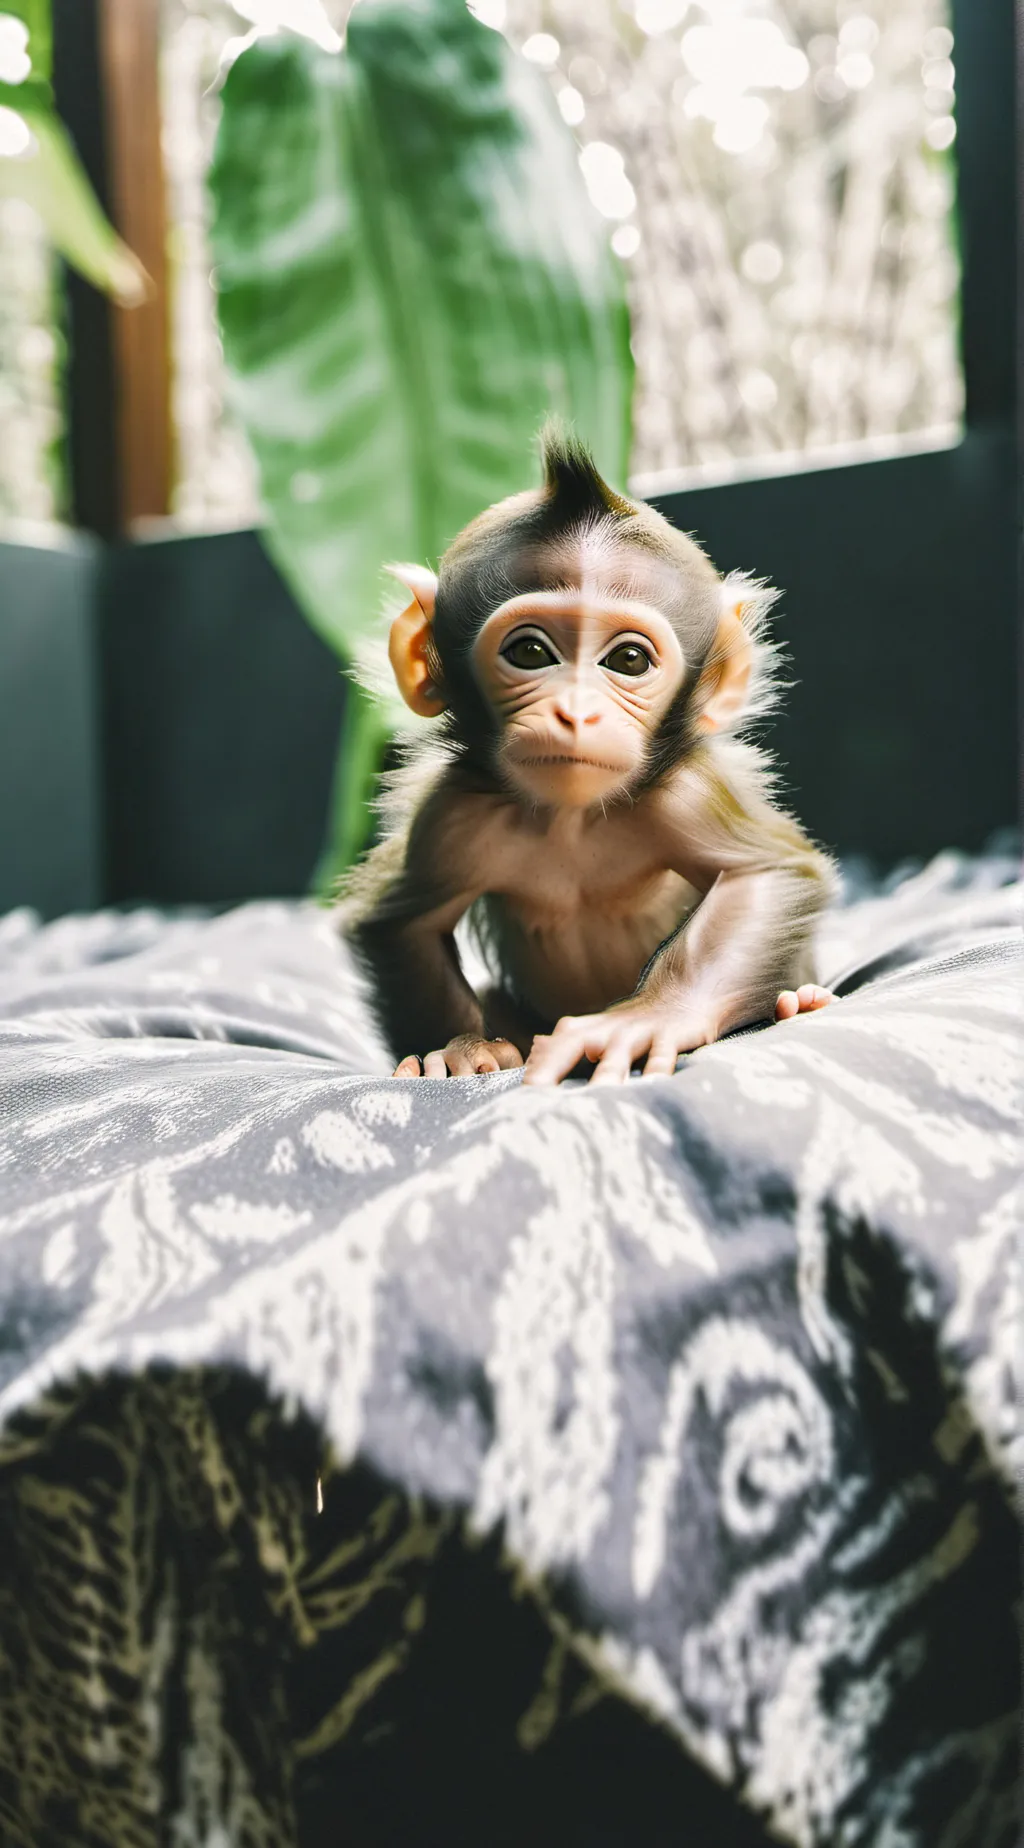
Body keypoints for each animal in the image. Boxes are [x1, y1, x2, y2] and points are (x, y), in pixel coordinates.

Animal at [338, 430, 835, 1087]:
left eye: (628, 661)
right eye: (529, 652)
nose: (576, 713)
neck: (569, 822)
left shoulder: (688, 793)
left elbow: (771, 872)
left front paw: (654, 1017)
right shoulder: (452, 814)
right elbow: (402, 924)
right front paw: (460, 1047)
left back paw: (798, 1000)